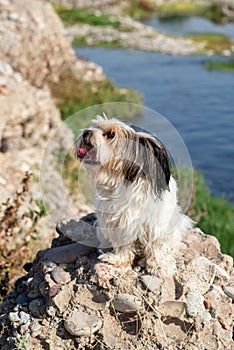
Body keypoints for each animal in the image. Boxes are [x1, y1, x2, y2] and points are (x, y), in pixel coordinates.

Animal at [75, 115, 192, 278]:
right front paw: (118, 259)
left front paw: (160, 266)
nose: (86, 132)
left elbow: (157, 246)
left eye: (111, 134)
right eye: (96, 126)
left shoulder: (156, 225)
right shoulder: (118, 224)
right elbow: (123, 245)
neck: (123, 181)